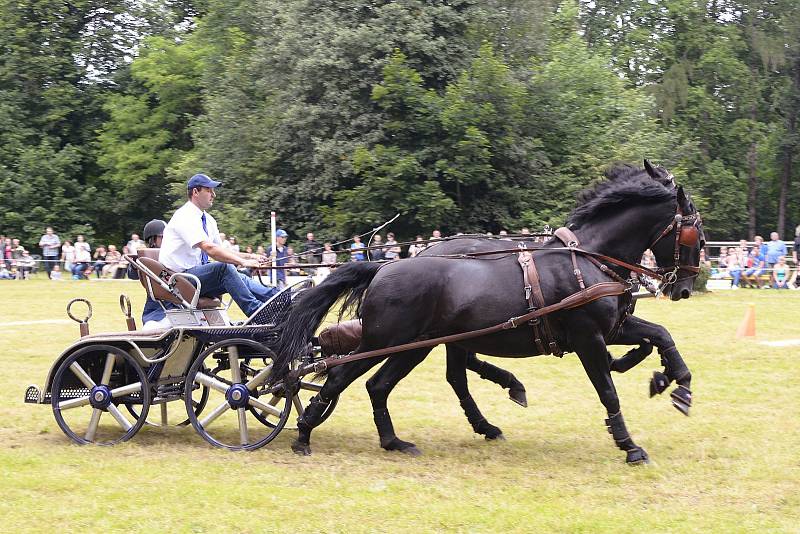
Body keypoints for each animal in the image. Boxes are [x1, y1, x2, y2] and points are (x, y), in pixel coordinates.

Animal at [272, 163, 704, 464]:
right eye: (694, 231)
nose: (683, 288)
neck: (589, 258)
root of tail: (382, 266)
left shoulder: (613, 328)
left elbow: (659, 335)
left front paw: (675, 383)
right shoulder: (588, 338)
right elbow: (608, 389)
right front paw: (629, 445)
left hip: (419, 346)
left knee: (382, 385)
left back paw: (395, 441)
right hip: (388, 341)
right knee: (341, 378)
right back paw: (305, 433)